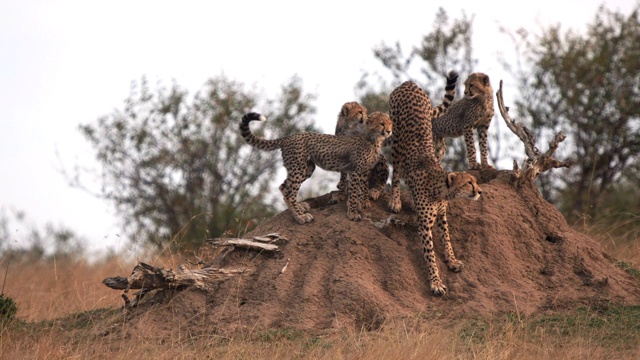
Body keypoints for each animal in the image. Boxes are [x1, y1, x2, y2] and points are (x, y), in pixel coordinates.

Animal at [239, 109, 390, 224]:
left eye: (390, 124)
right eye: (382, 124)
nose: (389, 131)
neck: (373, 139)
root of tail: (289, 137)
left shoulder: (364, 171)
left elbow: (363, 188)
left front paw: (363, 203)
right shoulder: (355, 171)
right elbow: (353, 193)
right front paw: (352, 213)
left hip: (307, 167)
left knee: (283, 186)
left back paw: (300, 207)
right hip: (298, 167)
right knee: (289, 192)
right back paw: (300, 217)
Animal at [388, 80, 482, 296]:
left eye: (474, 181)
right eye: (469, 183)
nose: (479, 191)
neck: (440, 189)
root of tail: (409, 83)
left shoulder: (441, 215)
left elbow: (447, 239)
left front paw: (452, 261)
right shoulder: (425, 224)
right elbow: (430, 255)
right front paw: (436, 282)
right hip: (395, 138)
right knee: (395, 172)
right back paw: (395, 200)